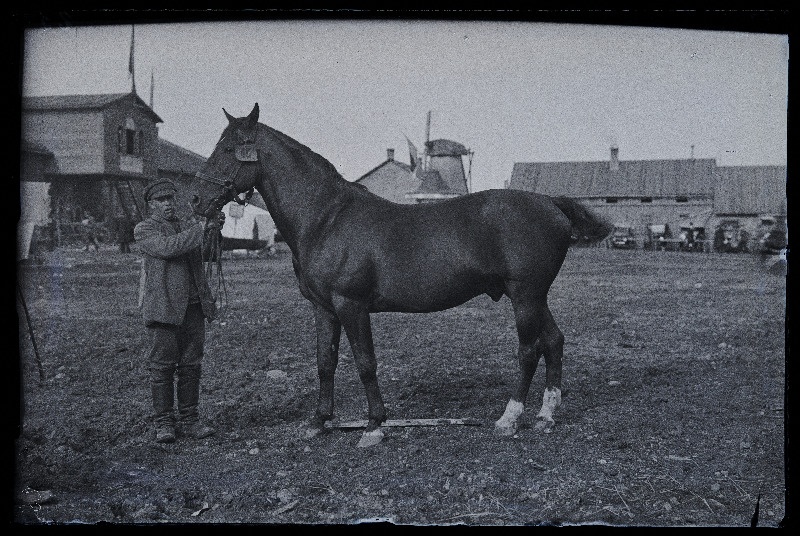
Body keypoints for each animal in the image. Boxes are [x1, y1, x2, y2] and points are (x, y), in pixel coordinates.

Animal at [189, 104, 612, 448]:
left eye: (228, 148)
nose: (195, 199)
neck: (326, 218)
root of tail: (550, 203)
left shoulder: (351, 305)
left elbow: (365, 362)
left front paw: (374, 426)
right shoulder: (324, 308)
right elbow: (325, 362)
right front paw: (319, 422)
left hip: (524, 296)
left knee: (528, 349)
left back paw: (509, 419)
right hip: (535, 297)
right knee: (553, 341)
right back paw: (545, 416)